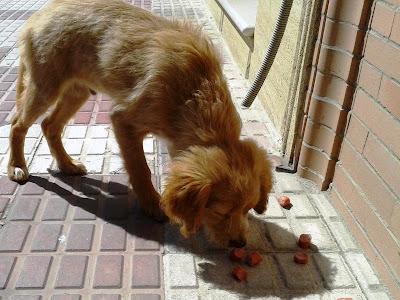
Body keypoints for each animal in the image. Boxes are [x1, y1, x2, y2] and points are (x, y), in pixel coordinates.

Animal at [7, 0, 274, 246]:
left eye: (248, 209)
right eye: (220, 211)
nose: (239, 244)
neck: (196, 92)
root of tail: (41, 14)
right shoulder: (123, 120)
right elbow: (140, 168)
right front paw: (152, 204)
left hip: (77, 90)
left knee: (49, 125)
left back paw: (66, 165)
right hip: (45, 87)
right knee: (17, 124)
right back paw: (17, 166)